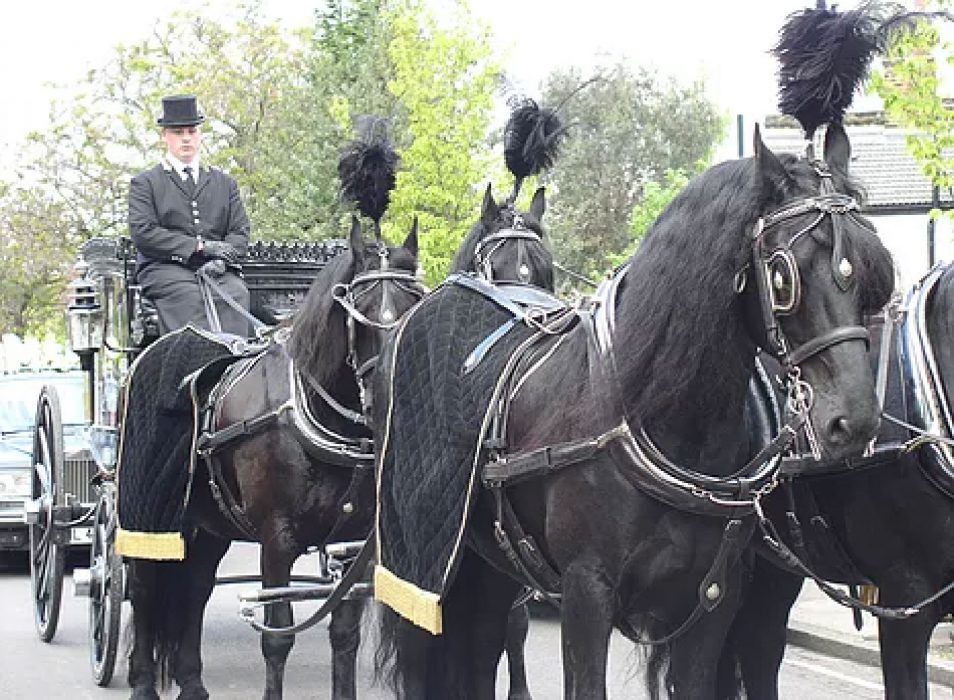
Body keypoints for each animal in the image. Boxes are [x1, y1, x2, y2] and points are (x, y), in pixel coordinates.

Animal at [124, 216, 422, 696]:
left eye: (414, 301)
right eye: (359, 310)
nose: (387, 396)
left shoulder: (354, 543)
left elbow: (345, 635)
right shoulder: (276, 541)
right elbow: (278, 636)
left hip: (208, 526)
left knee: (194, 589)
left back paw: (191, 680)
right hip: (146, 515)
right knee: (143, 588)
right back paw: (142, 682)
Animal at [370, 123, 892, 696]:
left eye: (872, 269)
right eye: (783, 275)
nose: (854, 420)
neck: (659, 416)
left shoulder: (713, 598)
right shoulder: (586, 592)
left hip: (489, 564)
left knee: (483, 648)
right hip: (423, 559)